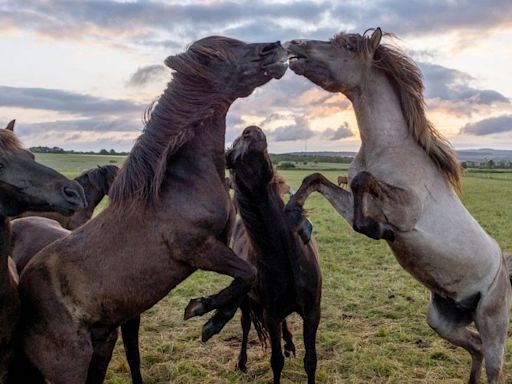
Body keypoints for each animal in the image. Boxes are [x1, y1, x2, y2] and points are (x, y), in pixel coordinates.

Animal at [17, 36, 288, 384]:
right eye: (219, 54)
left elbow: (245, 281)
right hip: (70, 364)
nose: (274, 47)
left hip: (102, 343)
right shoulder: (200, 250)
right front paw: (203, 314)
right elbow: (248, 274)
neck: (178, 185)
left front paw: (208, 314)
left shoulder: (222, 244)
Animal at [227, 124, 320, 382]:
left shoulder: (312, 312)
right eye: (230, 155)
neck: (285, 256)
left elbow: (311, 361)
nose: (250, 131)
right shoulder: (270, 315)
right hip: (247, 300)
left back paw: (289, 343)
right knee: (246, 323)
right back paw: (242, 362)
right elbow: (276, 362)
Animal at [284, 28, 512, 382]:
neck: (389, 147)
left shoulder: (406, 212)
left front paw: (380, 232)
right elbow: (318, 179)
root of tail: (504, 266)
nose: (294, 44)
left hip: (493, 325)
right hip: (444, 322)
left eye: (347, 46)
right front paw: (294, 211)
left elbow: (363, 183)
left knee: (492, 365)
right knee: (473, 346)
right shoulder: (359, 202)